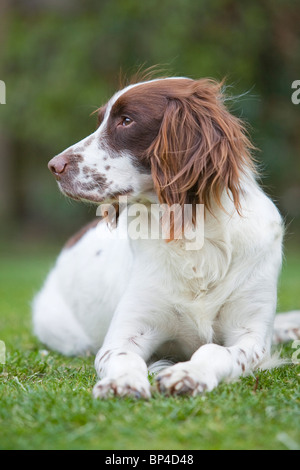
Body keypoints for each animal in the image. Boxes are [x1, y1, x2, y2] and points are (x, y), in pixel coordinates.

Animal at [32, 76, 300, 396]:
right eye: (101, 121)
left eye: (126, 121)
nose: (54, 166)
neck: (194, 234)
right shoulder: (128, 331)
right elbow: (122, 355)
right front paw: (122, 382)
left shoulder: (251, 334)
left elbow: (216, 351)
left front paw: (190, 373)